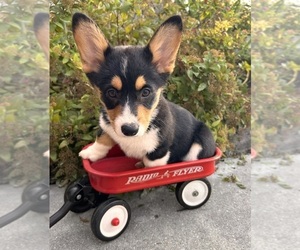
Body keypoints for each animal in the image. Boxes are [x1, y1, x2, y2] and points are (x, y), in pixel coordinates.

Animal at [72, 12, 216, 167]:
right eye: (111, 92)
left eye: (146, 92)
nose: (129, 130)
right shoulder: (106, 124)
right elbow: (102, 136)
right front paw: (92, 152)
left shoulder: (158, 153)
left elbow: (150, 166)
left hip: (199, 146)